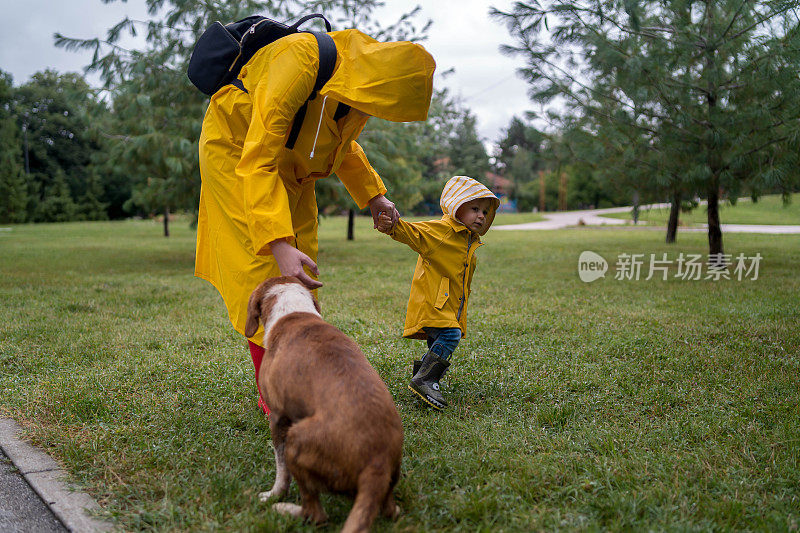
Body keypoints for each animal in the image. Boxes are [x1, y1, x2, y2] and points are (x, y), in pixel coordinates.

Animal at [244, 276, 404, 528]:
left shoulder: (279, 417)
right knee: (390, 510)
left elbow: (281, 470)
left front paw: (273, 495)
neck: (294, 312)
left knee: (315, 514)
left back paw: (285, 509)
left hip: (296, 441)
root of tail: (377, 462)